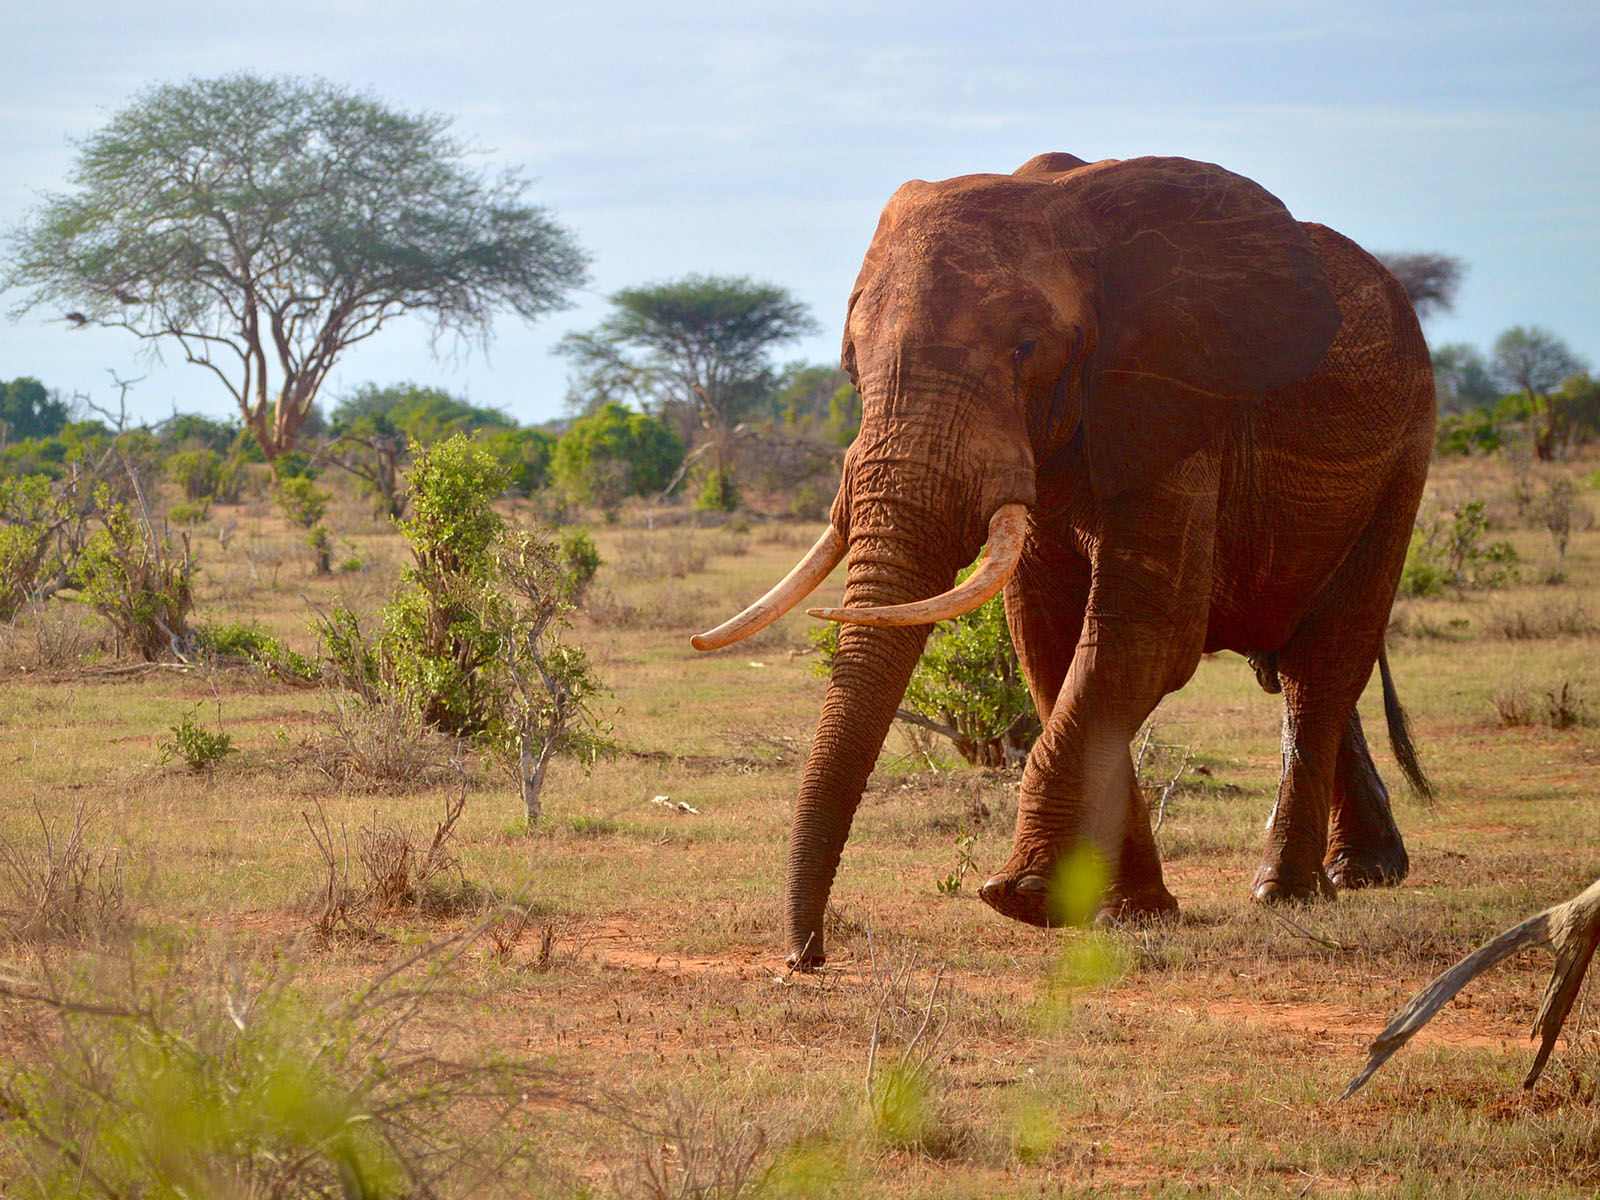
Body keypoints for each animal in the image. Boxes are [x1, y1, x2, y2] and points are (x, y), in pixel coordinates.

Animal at [697, 155, 1440, 972]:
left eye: (1026, 347)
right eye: (851, 365)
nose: (808, 957)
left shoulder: (1175, 405)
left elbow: (1142, 637)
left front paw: (1020, 898)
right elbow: (1050, 645)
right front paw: (1128, 910)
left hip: (1406, 453)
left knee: (1324, 664)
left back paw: (1287, 892)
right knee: (1292, 660)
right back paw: (1364, 873)